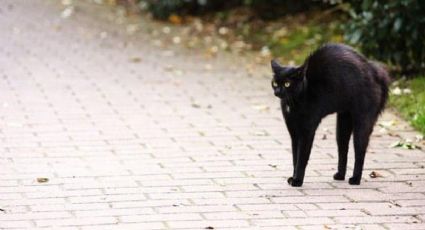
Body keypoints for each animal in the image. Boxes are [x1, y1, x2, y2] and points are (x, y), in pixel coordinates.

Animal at [270, 43, 390, 187]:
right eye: (275, 83)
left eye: (287, 84)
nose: (277, 91)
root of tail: (375, 71)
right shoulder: (294, 132)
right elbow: (295, 156)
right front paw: (293, 177)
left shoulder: (306, 131)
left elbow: (302, 157)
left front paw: (297, 180)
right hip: (343, 122)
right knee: (343, 149)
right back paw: (340, 175)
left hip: (362, 121)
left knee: (360, 151)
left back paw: (355, 179)